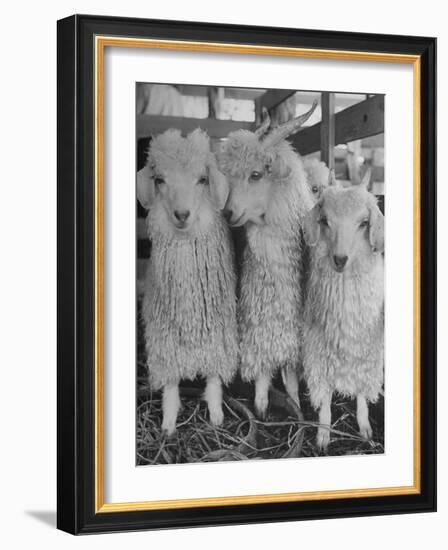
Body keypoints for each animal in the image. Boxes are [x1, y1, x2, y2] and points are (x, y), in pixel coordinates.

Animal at [138, 128, 240, 436]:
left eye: (202, 179)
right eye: (159, 180)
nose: (182, 215)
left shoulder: (219, 333)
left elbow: (215, 378)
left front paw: (217, 417)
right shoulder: (164, 338)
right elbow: (170, 384)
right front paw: (169, 424)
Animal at [218, 103, 316, 420]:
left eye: (257, 174)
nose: (228, 213)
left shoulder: (293, 331)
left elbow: (291, 375)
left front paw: (295, 405)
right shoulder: (257, 320)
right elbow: (262, 366)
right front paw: (261, 404)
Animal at [302, 172, 384, 452]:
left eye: (364, 223)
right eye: (325, 220)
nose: (340, 259)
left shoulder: (366, 353)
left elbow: (361, 392)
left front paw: (365, 429)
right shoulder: (318, 353)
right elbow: (325, 396)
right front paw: (323, 435)